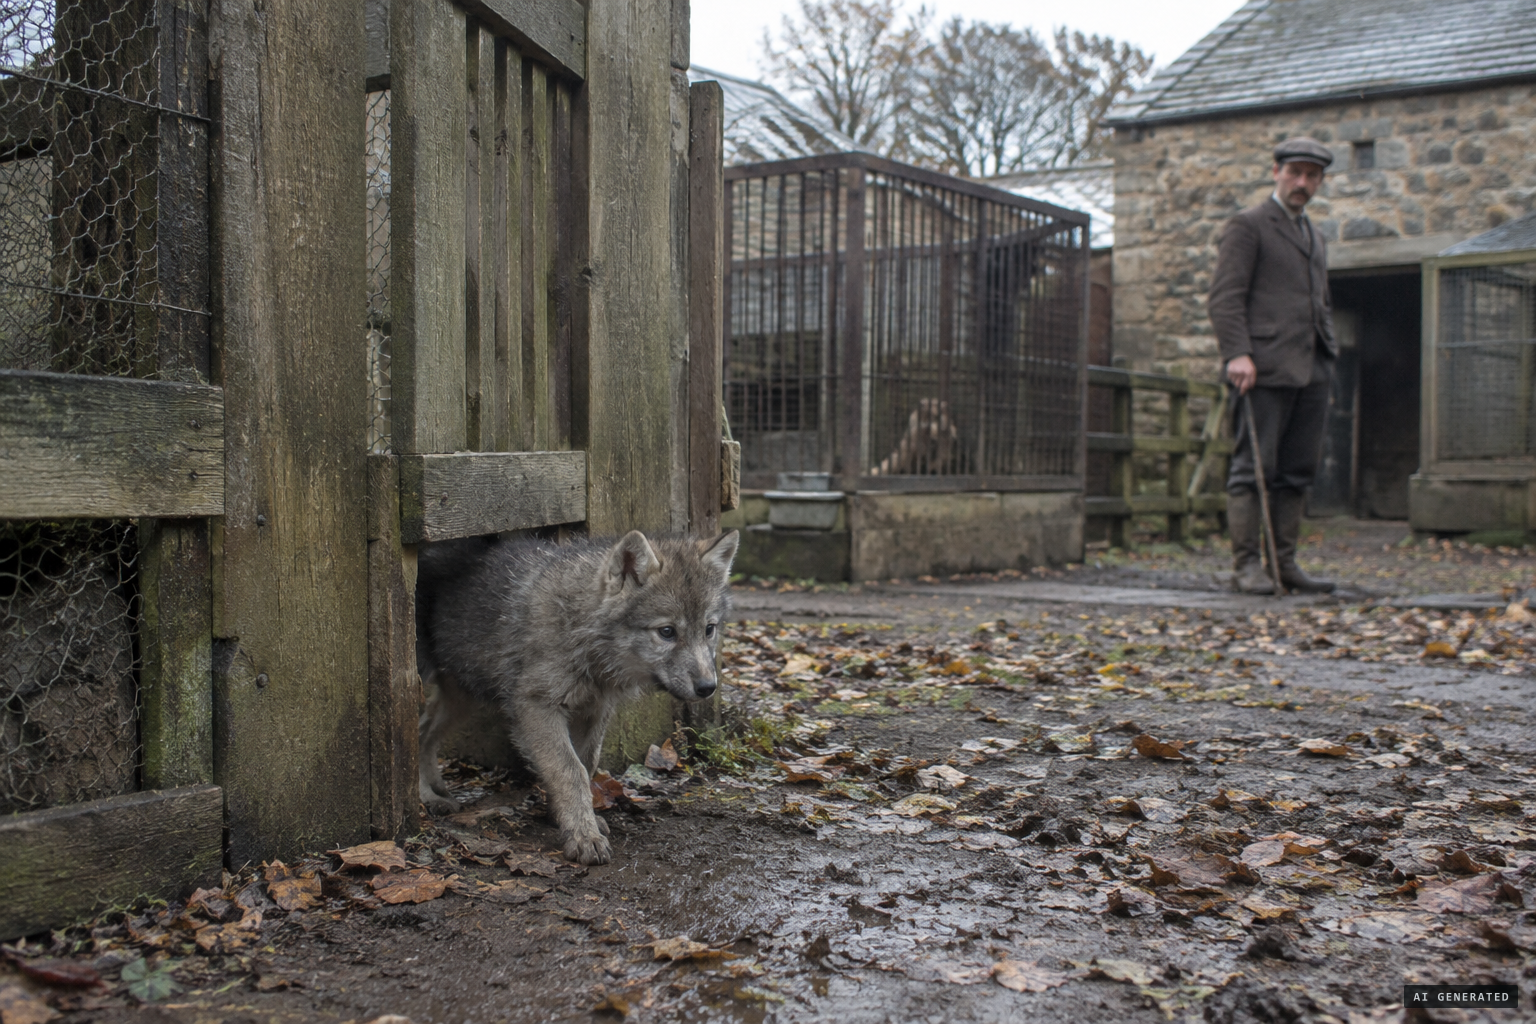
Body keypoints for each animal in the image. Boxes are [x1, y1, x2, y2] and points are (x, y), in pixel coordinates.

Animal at [415, 529, 739, 865]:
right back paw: (426, 798)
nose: (708, 687)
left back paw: (435, 791)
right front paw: (583, 837)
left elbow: (587, 763)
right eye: (666, 632)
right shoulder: (537, 707)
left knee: (425, 734)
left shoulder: (594, 711)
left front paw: (572, 819)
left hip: (461, 698)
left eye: (709, 629)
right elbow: (570, 770)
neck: (580, 629)